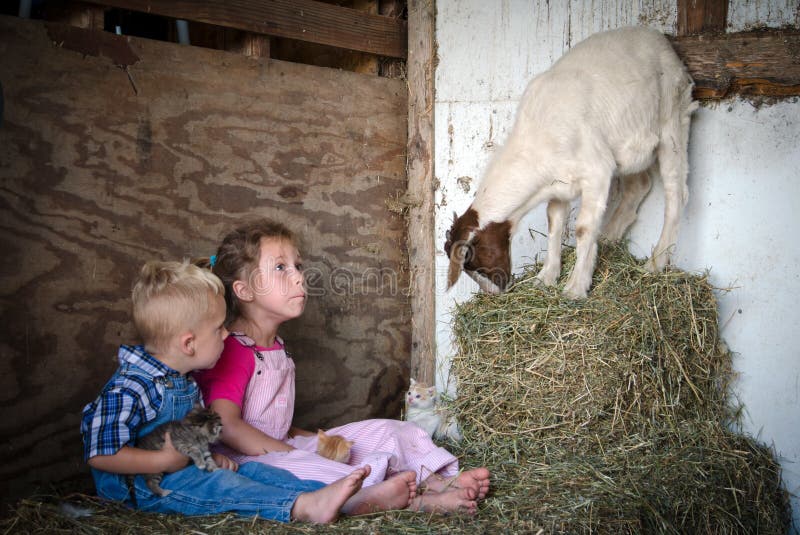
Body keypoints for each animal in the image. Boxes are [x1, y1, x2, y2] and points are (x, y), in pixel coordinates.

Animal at [446, 26, 696, 298]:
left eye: (475, 260)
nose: (494, 291)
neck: (537, 138)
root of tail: (657, 36)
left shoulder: (597, 171)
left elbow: (583, 228)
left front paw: (576, 287)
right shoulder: (559, 186)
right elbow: (554, 225)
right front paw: (546, 277)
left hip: (673, 121)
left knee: (676, 193)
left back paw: (656, 262)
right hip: (628, 146)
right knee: (640, 184)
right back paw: (609, 236)